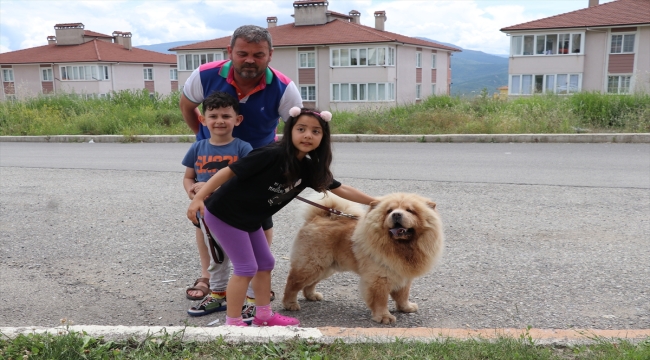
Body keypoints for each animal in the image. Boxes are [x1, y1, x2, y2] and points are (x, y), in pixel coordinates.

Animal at [280, 193, 442, 324]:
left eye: (410, 211)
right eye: (389, 211)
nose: (396, 214)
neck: (402, 247)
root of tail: (317, 217)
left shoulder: (403, 275)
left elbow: (403, 294)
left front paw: (406, 308)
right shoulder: (379, 278)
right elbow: (381, 299)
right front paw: (384, 317)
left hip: (325, 267)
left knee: (309, 284)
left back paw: (312, 295)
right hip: (313, 264)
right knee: (292, 282)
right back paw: (290, 304)